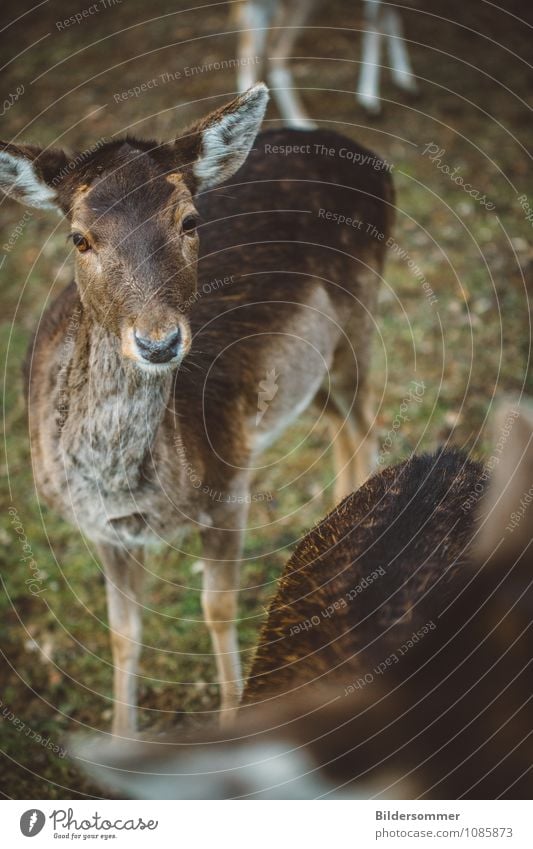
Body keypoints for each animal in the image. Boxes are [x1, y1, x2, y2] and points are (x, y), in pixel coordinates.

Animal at [2, 84, 392, 736]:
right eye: (79, 237)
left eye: (189, 220)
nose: (159, 341)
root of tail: (370, 158)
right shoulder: (98, 527)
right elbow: (124, 635)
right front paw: (122, 737)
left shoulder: (229, 482)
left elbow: (217, 608)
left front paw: (234, 720)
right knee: (343, 428)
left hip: (357, 321)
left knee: (366, 429)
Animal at [235, 0, 418, 127]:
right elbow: (376, 23)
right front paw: (370, 101)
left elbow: (391, 18)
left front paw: (405, 80)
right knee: (273, 49)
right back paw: (302, 123)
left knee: (249, 42)